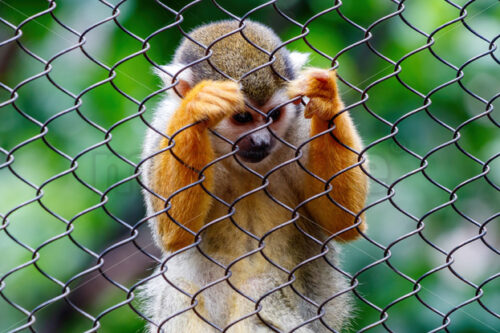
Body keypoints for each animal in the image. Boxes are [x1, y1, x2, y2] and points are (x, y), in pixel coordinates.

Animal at [141, 20, 368, 332]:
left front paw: (325, 97)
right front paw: (197, 106)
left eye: (273, 116)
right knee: (183, 288)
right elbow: (173, 233)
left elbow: (345, 222)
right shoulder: (163, 129)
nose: (261, 141)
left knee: (259, 289)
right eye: (242, 118)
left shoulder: (298, 125)